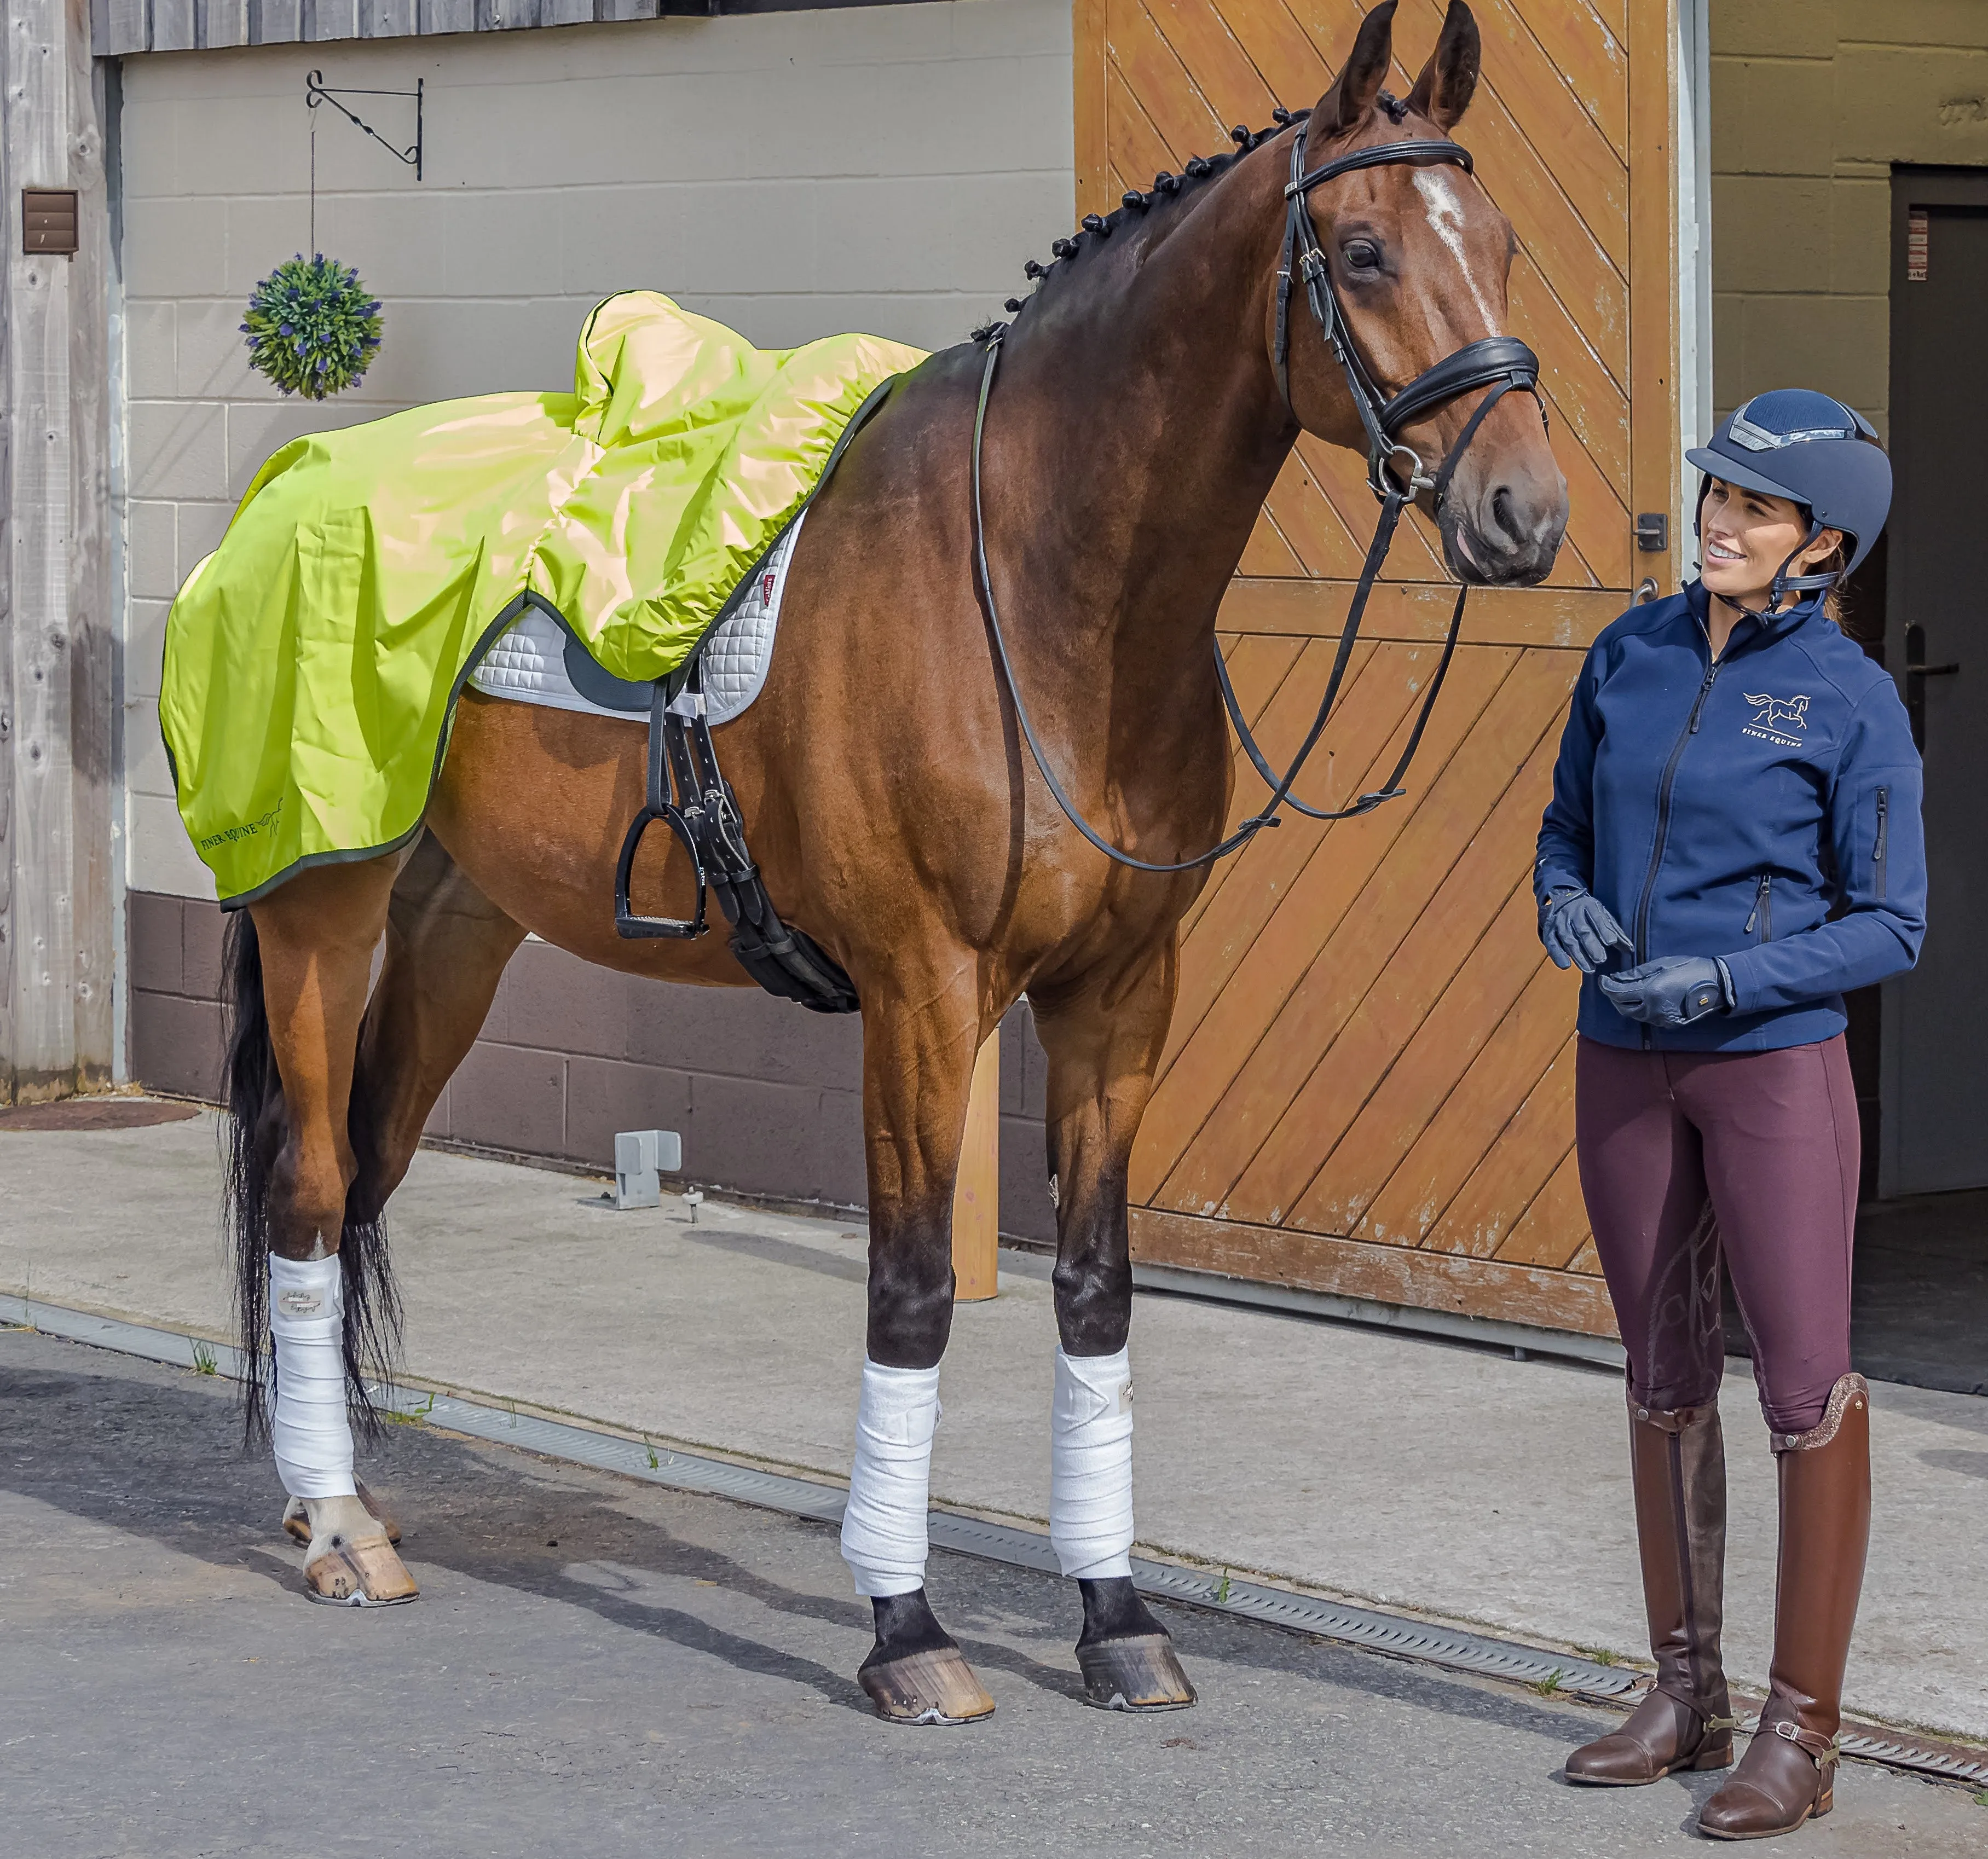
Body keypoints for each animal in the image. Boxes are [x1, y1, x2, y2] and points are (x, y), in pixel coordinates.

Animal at [221, 0, 1567, 1718]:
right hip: (318, 917)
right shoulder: (923, 994)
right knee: (309, 1189)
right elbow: (913, 1293)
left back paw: (339, 1500)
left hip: (456, 930)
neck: (1039, 590)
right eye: (1364, 249)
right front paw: (906, 1627)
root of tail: (284, 496)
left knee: (363, 1178)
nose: (1522, 511)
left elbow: (1095, 1289)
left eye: (1504, 241)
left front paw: (1116, 1616)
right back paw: (336, 1529)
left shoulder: (1120, 992)